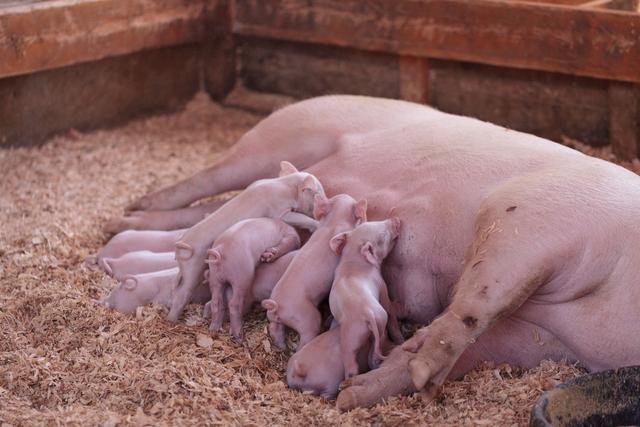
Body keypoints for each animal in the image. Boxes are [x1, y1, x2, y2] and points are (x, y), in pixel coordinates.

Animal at [106, 96, 640, 412]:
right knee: (204, 180)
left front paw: (362, 392)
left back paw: (124, 224)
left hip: (269, 183)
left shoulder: (539, 339)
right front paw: (419, 372)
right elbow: (477, 301)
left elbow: (472, 341)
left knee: (211, 211)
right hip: (276, 139)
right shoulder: (533, 216)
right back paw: (128, 211)